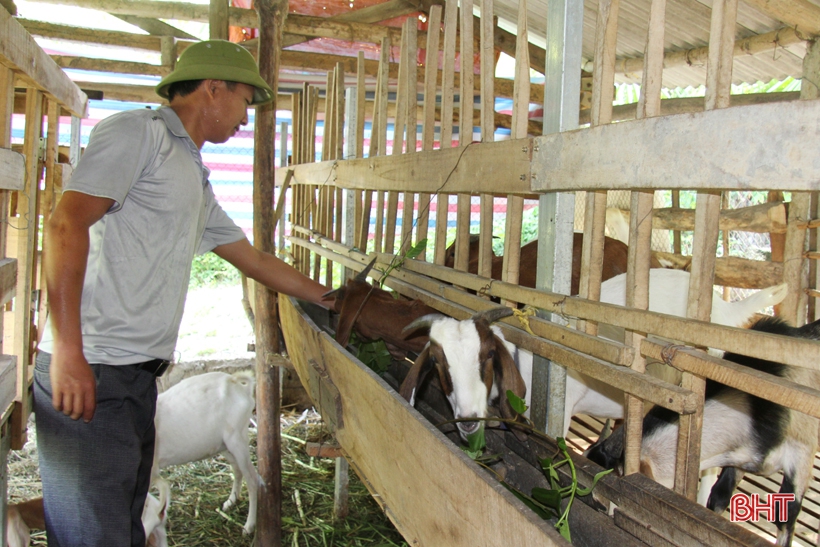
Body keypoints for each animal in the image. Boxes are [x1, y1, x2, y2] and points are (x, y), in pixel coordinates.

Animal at [151, 372, 258, 536]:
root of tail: (234, 381)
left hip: (237, 439)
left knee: (253, 480)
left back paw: (249, 526)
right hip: (223, 445)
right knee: (237, 470)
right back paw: (230, 502)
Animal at [588, 316, 820, 547]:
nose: (599, 506)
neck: (757, 404)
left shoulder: (802, 454)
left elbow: (786, 514)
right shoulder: (741, 457)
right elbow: (719, 496)